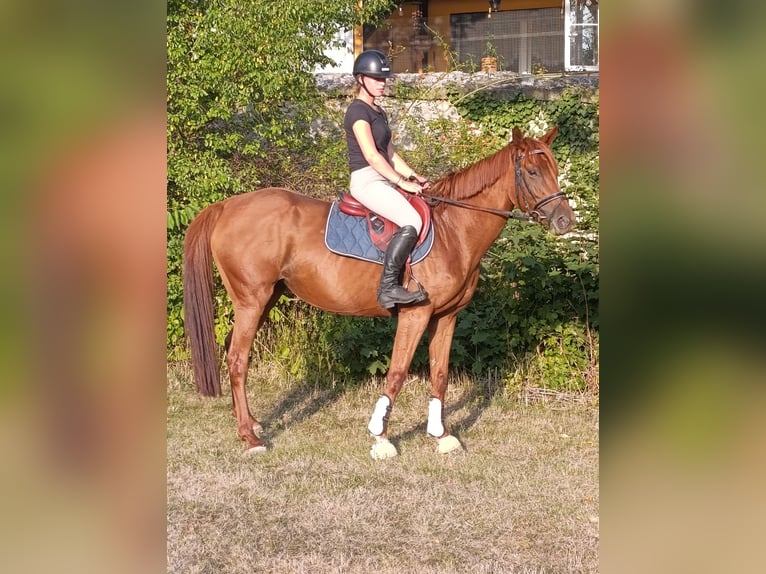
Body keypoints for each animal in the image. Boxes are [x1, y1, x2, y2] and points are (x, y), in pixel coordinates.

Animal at [183, 126, 575, 458]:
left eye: (554, 168)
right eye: (533, 172)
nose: (565, 221)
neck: (453, 230)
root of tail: (227, 206)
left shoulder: (447, 317)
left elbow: (440, 373)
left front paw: (442, 436)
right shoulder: (415, 314)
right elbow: (397, 372)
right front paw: (381, 437)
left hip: (264, 299)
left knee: (233, 351)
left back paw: (249, 423)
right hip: (252, 300)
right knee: (238, 358)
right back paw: (250, 438)